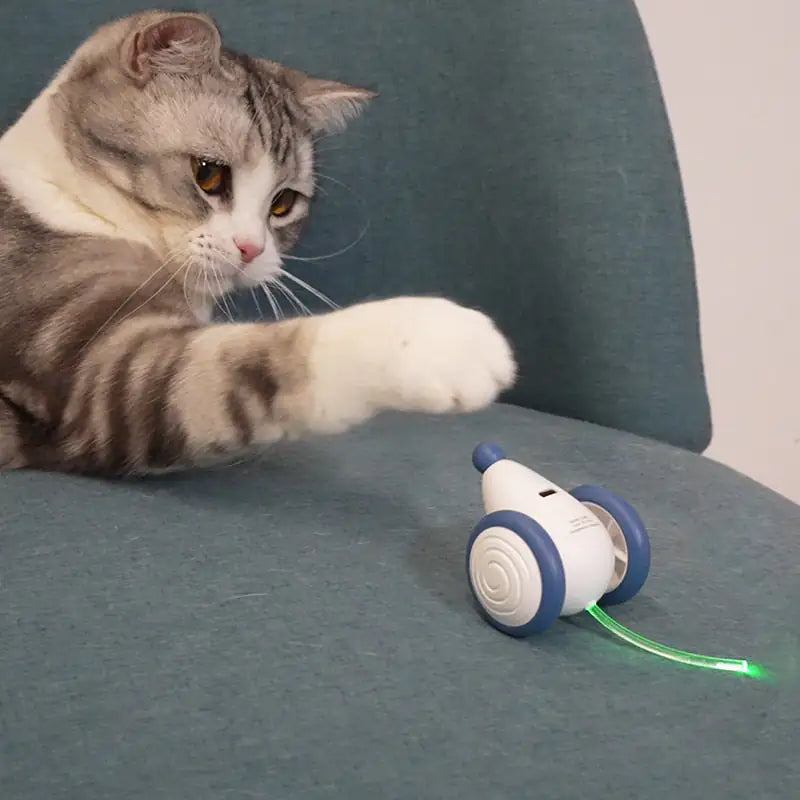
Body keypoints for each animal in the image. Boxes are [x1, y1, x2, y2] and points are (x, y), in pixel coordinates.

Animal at [0, 9, 516, 476]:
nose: (251, 249)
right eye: (208, 174)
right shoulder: (102, 368)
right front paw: (441, 340)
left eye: (283, 203)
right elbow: (247, 359)